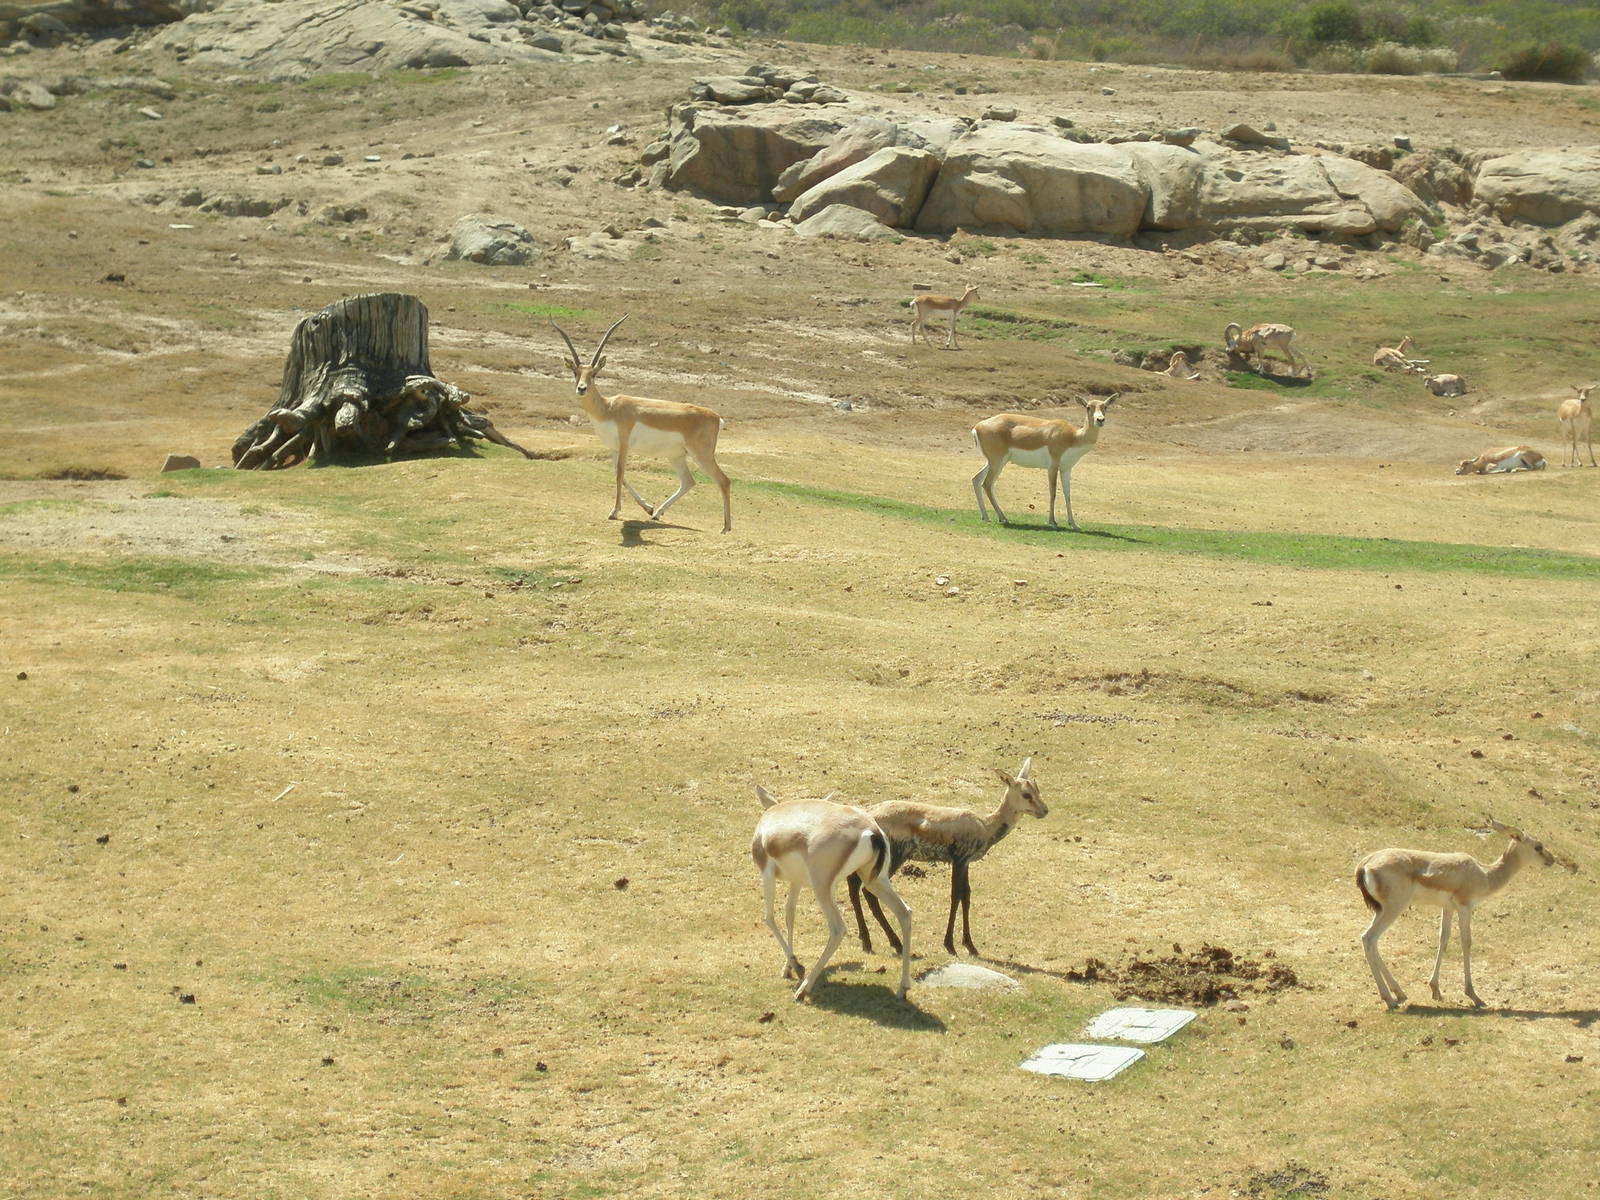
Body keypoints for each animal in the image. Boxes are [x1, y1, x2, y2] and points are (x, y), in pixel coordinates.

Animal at [552, 315, 732, 533]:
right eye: (575, 372)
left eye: (593, 373)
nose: (582, 388)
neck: (608, 408)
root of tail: (715, 417)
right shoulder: (614, 448)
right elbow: (619, 475)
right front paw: (648, 507)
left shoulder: (624, 446)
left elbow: (620, 474)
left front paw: (614, 512)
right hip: (677, 456)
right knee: (688, 481)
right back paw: (657, 514)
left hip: (701, 455)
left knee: (724, 480)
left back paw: (725, 527)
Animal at [752, 787, 912, 1001]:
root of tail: (872, 831)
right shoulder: (797, 881)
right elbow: (789, 915)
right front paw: (788, 968)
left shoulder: (767, 873)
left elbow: (769, 918)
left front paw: (797, 966)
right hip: (875, 881)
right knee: (904, 913)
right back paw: (902, 988)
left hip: (822, 887)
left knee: (838, 928)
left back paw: (804, 989)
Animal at [846, 758, 1047, 958]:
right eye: (1026, 794)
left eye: (1037, 789)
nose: (1045, 810)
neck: (985, 826)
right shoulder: (959, 860)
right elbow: (955, 895)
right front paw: (950, 945)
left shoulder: (966, 863)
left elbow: (966, 896)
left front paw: (971, 946)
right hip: (894, 858)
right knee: (867, 890)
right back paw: (895, 944)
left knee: (854, 886)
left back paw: (868, 942)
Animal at [971, 394, 1117, 530]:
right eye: (1088, 407)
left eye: (1105, 407)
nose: (1100, 420)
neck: (1073, 437)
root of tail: (977, 427)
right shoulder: (1052, 466)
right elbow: (1053, 492)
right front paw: (1052, 522)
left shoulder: (1066, 468)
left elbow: (1067, 494)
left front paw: (1074, 524)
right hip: (997, 461)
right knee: (987, 484)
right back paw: (1003, 518)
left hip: (995, 462)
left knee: (976, 479)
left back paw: (986, 517)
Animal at [1357, 819, 1560, 1009]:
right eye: (1538, 846)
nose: (1552, 860)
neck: (1484, 874)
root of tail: (1365, 864)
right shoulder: (1465, 908)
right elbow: (1466, 942)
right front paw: (1474, 995)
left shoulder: (1447, 908)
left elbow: (1443, 939)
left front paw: (1436, 989)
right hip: (1394, 909)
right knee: (1368, 938)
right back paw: (1390, 1000)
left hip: (1382, 911)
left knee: (1371, 941)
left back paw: (1399, 993)